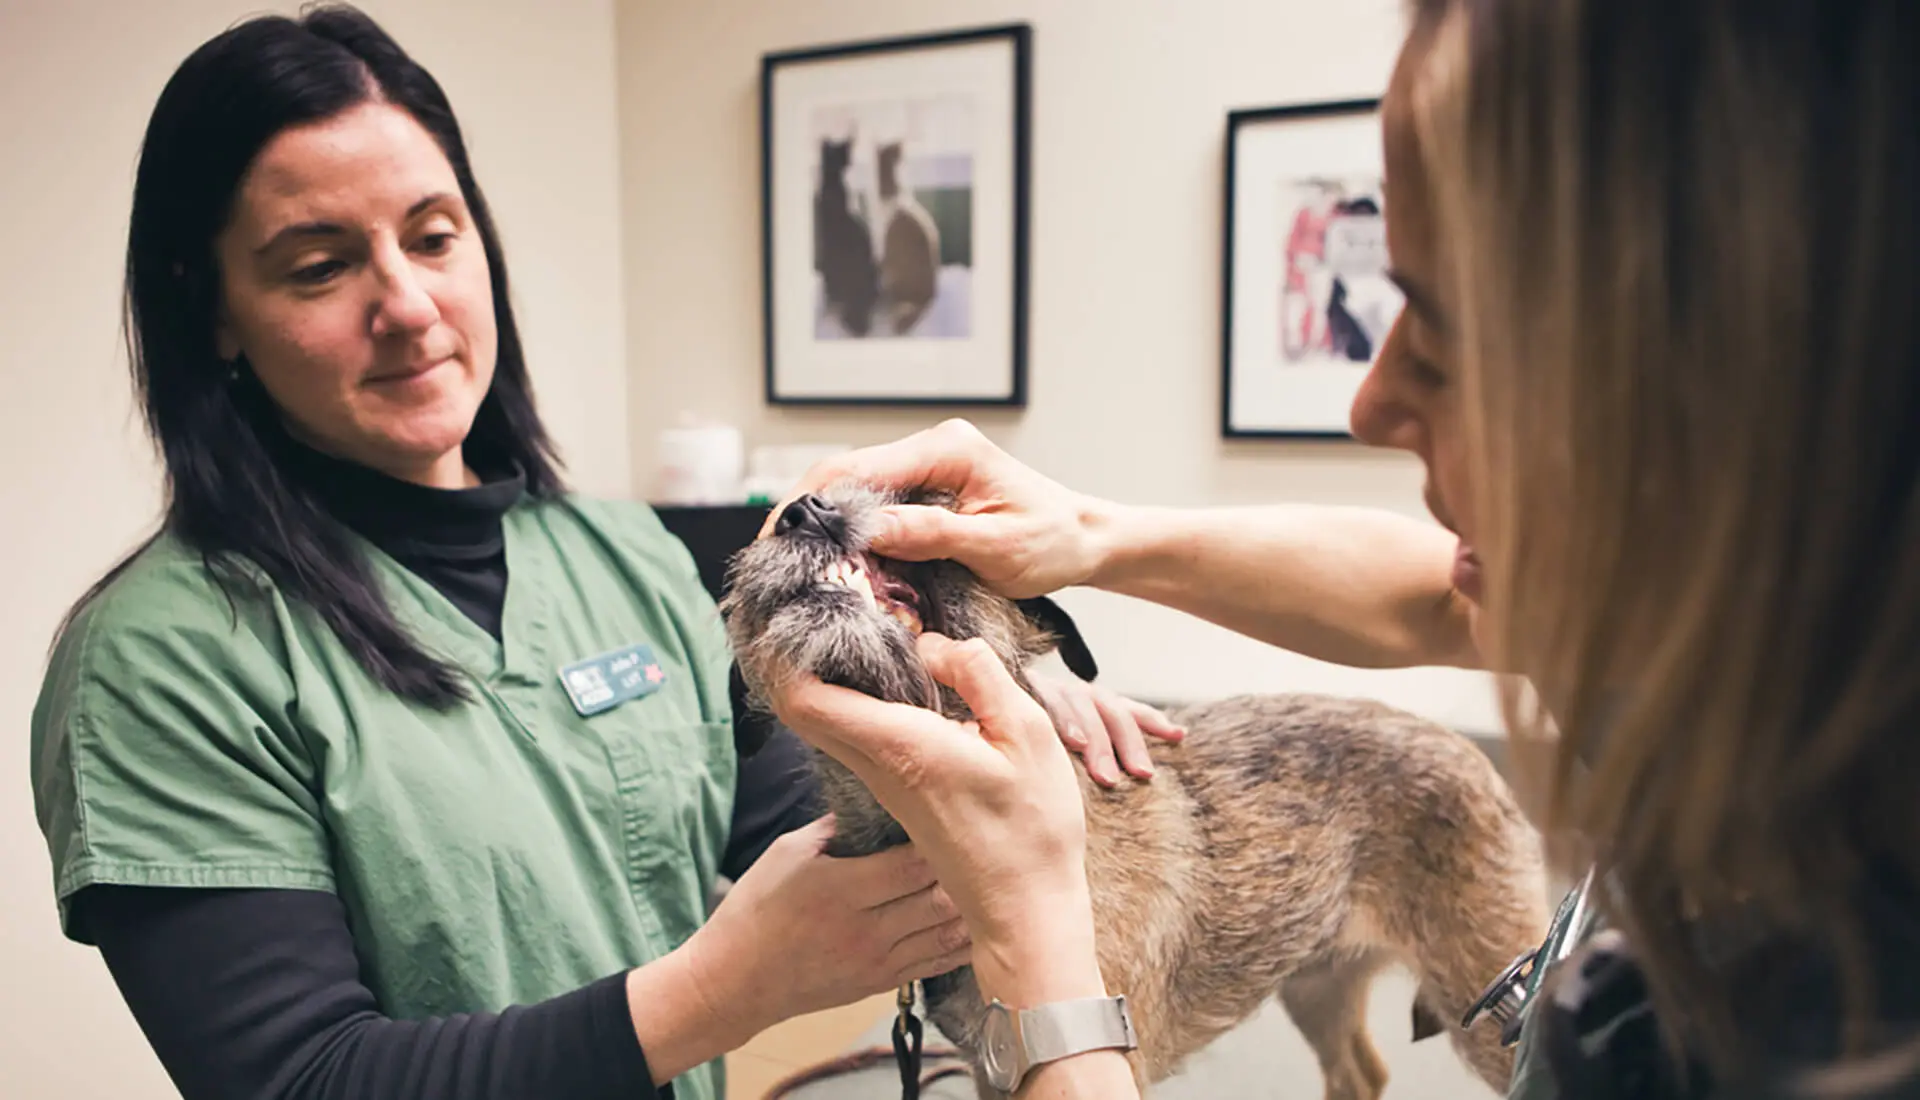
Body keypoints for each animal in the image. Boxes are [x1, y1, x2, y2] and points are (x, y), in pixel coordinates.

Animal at [721, 483, 1543, 1090]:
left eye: (925, 500)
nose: (804, 509)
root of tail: (1470, 753)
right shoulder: (997, 1065)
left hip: (1487, 999)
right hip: (1318, 982)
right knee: (1360, 1072)